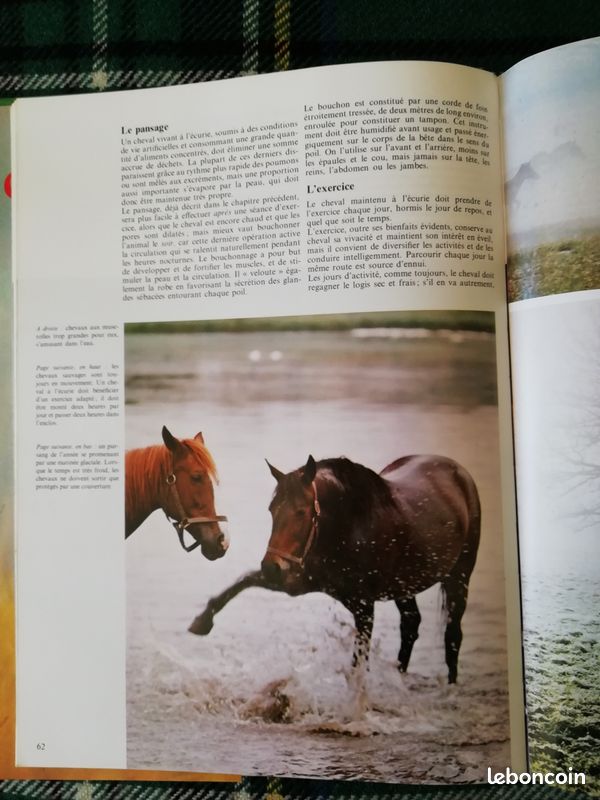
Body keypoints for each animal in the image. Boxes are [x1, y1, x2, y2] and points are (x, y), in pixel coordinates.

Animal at [189, 453, 480, 683]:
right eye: (272, 509)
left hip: (459, 578)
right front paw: (202, 620)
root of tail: (459, 470)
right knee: (411, 625)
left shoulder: (364, 607)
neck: (350, 527)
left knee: (453, 635)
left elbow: (358, 665)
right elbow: (243, 580)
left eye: (301, 512)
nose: (272, 566)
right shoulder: (298, 579)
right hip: (405, 587)